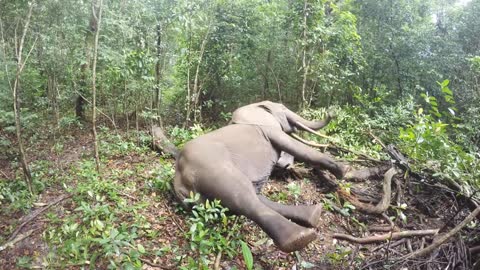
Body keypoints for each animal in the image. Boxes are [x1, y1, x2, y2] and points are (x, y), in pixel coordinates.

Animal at [174, 100, 346, 252]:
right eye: (283, 108)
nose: (331, 111)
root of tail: (177, 183)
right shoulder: (269, 131)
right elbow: (295, 146)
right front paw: (345, 171)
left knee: (248, 197)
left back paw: (314, 214)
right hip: (211, 167)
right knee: (243, 198)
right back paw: (299, 238)